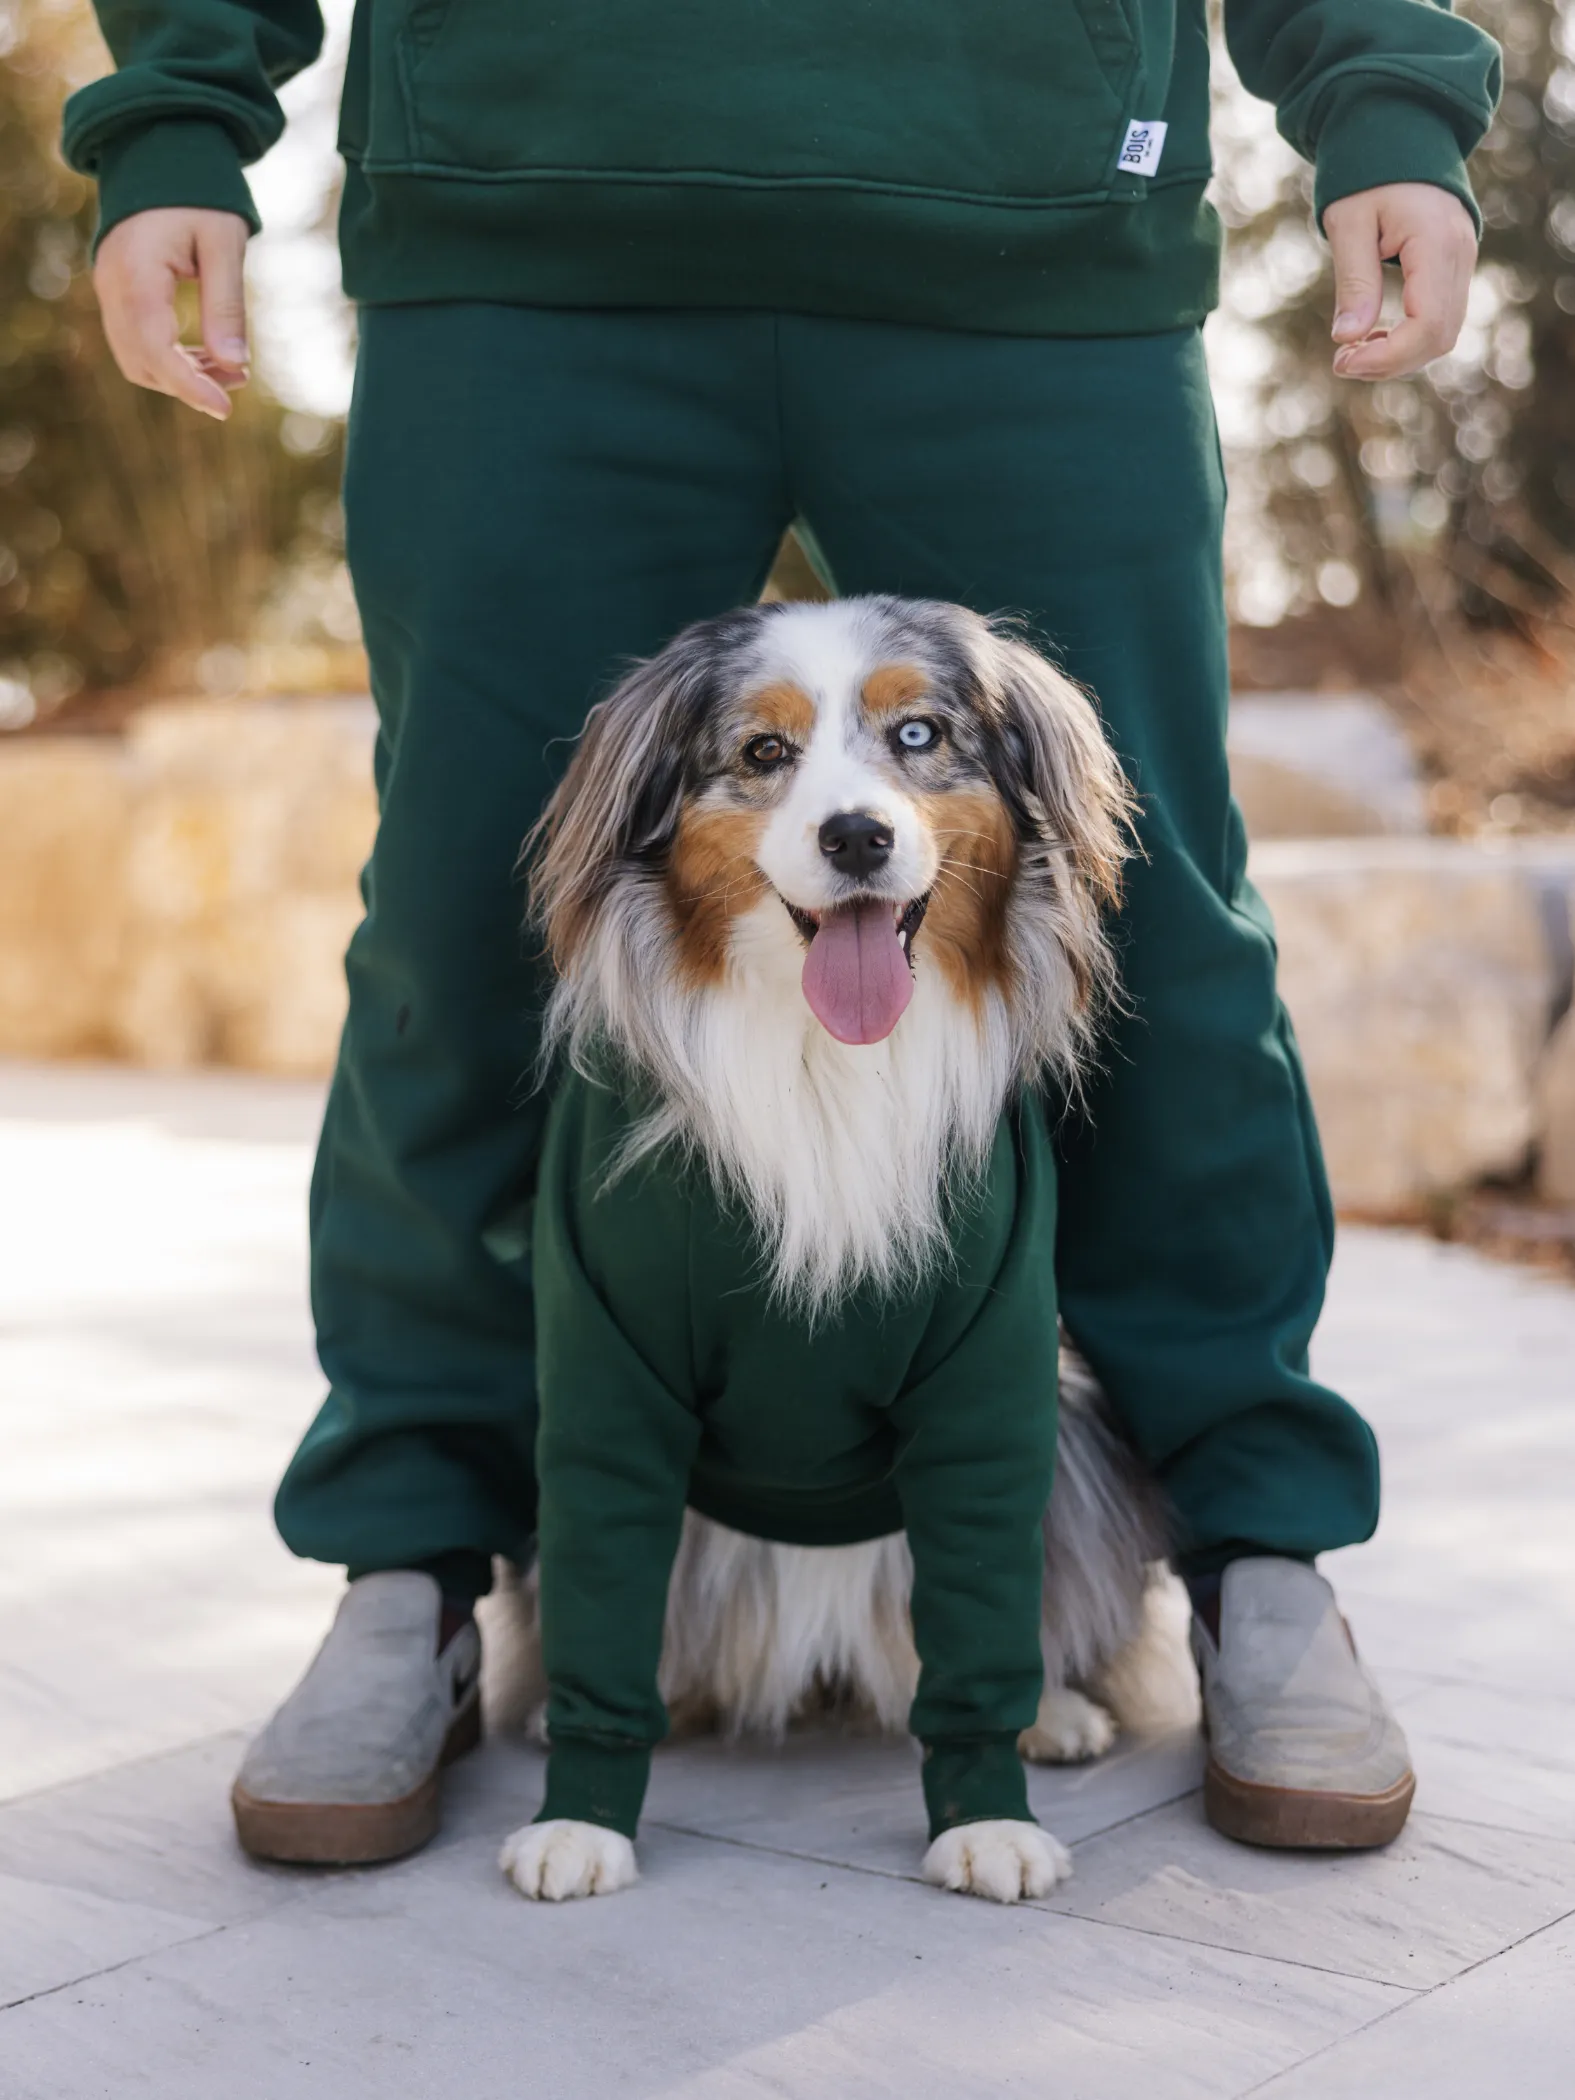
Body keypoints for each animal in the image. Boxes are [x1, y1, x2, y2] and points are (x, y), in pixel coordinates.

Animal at [499, 600, 1201, 1915]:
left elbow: (982, 1616)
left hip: (1071, 1445)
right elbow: (601, 1593)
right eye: (764, 752)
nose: (859, 834)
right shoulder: (606, 1383)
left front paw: (990, 1818)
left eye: (917, 734)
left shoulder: (992, 1381)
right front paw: (580, 1813)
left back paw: (1055, 1713)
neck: (826, 1059)